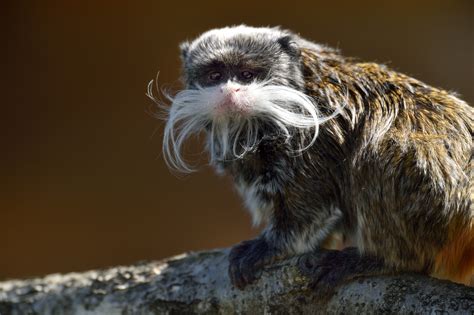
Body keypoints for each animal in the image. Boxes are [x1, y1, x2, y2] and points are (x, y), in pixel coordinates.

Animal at [150, 24, 472, 292]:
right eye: (215, 76)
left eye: (247, 75)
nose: (230, 91)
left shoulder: (312, 134)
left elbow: (310, 206)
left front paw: (269, 248)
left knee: (380, 151)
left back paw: (380, 260)